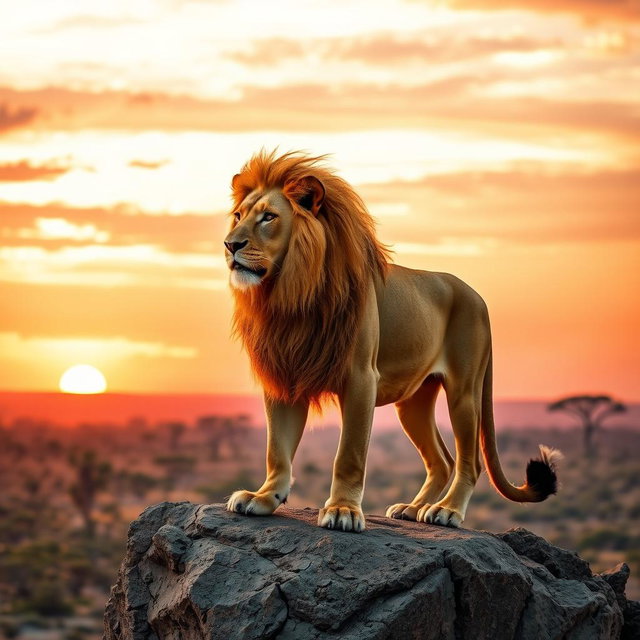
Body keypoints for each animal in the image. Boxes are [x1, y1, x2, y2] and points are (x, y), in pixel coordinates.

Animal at [224, 150, 560, 532]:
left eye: (268, 217)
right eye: (238, 216)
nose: (230, 245)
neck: (289, 293)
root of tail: (476, 296)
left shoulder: (360, 377)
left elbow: (350, 453)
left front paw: (342, 510)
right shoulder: (283, 374)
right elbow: (276, 449)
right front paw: (264, 497)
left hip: (464, 391)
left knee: (469, 461)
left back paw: (446, 511)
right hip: (413, 402)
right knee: (442, 460)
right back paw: (413, 509)